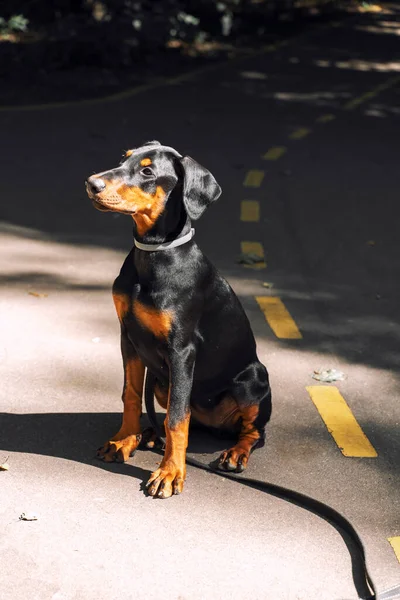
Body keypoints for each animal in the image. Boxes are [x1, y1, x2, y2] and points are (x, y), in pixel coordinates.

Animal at [85, 141, 272, 496]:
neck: (155, 255)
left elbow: (176, 418)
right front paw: (123, 440)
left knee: (253, 432)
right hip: (162, 382)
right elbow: (131, 394)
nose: (91, 184)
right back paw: (147, 435)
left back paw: (235, 453)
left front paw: (170, 472)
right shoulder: (128, 337)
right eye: (122, 158)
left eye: (147, 171)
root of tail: (216, 426)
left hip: (252, 380)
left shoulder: (181, 350)